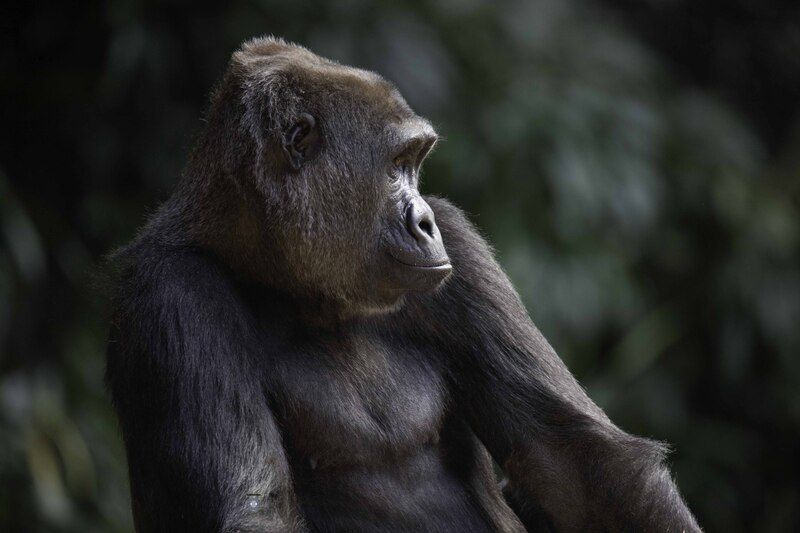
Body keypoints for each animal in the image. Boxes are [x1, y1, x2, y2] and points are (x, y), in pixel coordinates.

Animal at [106, 36, 700, 532]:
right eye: (396, 163)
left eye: (415, 164)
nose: (425, 221)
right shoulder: (174, 292)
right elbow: (256, 509)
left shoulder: (462, 251)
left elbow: (576, 463)